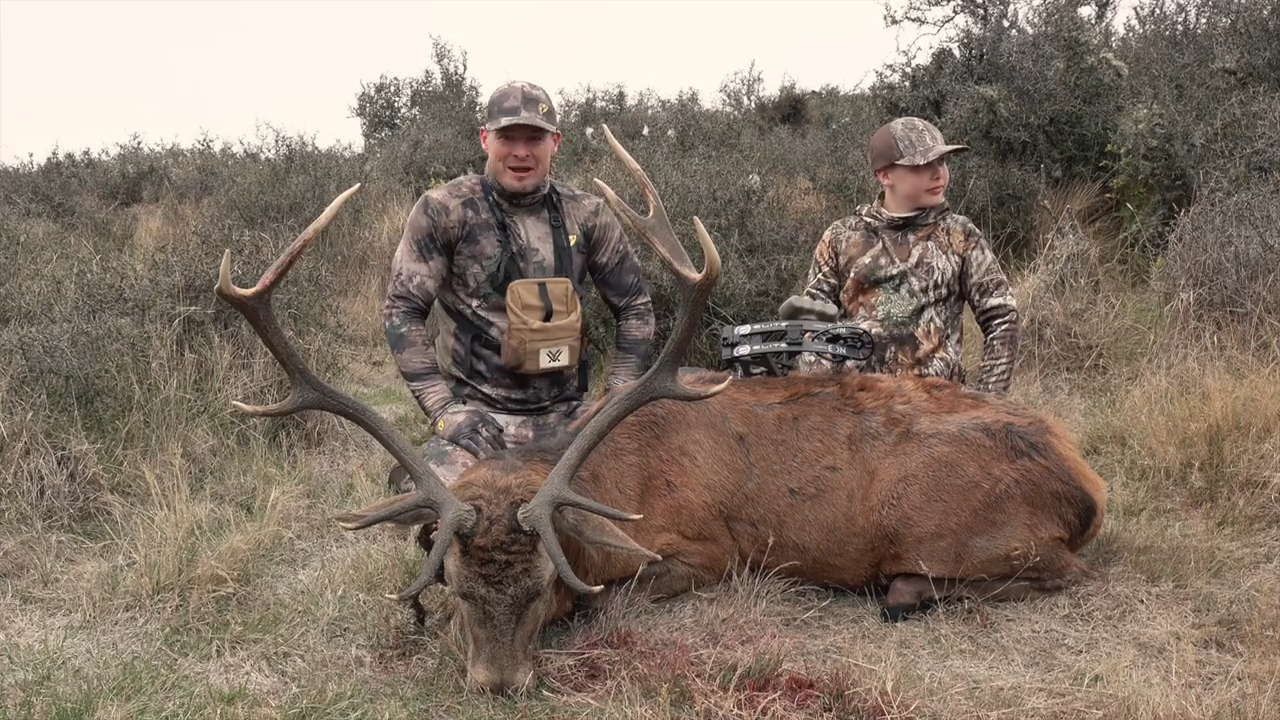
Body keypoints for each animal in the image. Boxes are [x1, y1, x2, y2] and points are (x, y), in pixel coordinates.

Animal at [214, 125, 1109, 696]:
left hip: (951, 526)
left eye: (543, 586)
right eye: (461, 592)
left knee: (1051, 572)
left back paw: (909, 590)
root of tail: (1087, 485)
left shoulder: (708, 551)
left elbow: (615, 600)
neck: (608, 488)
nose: (498, 685)